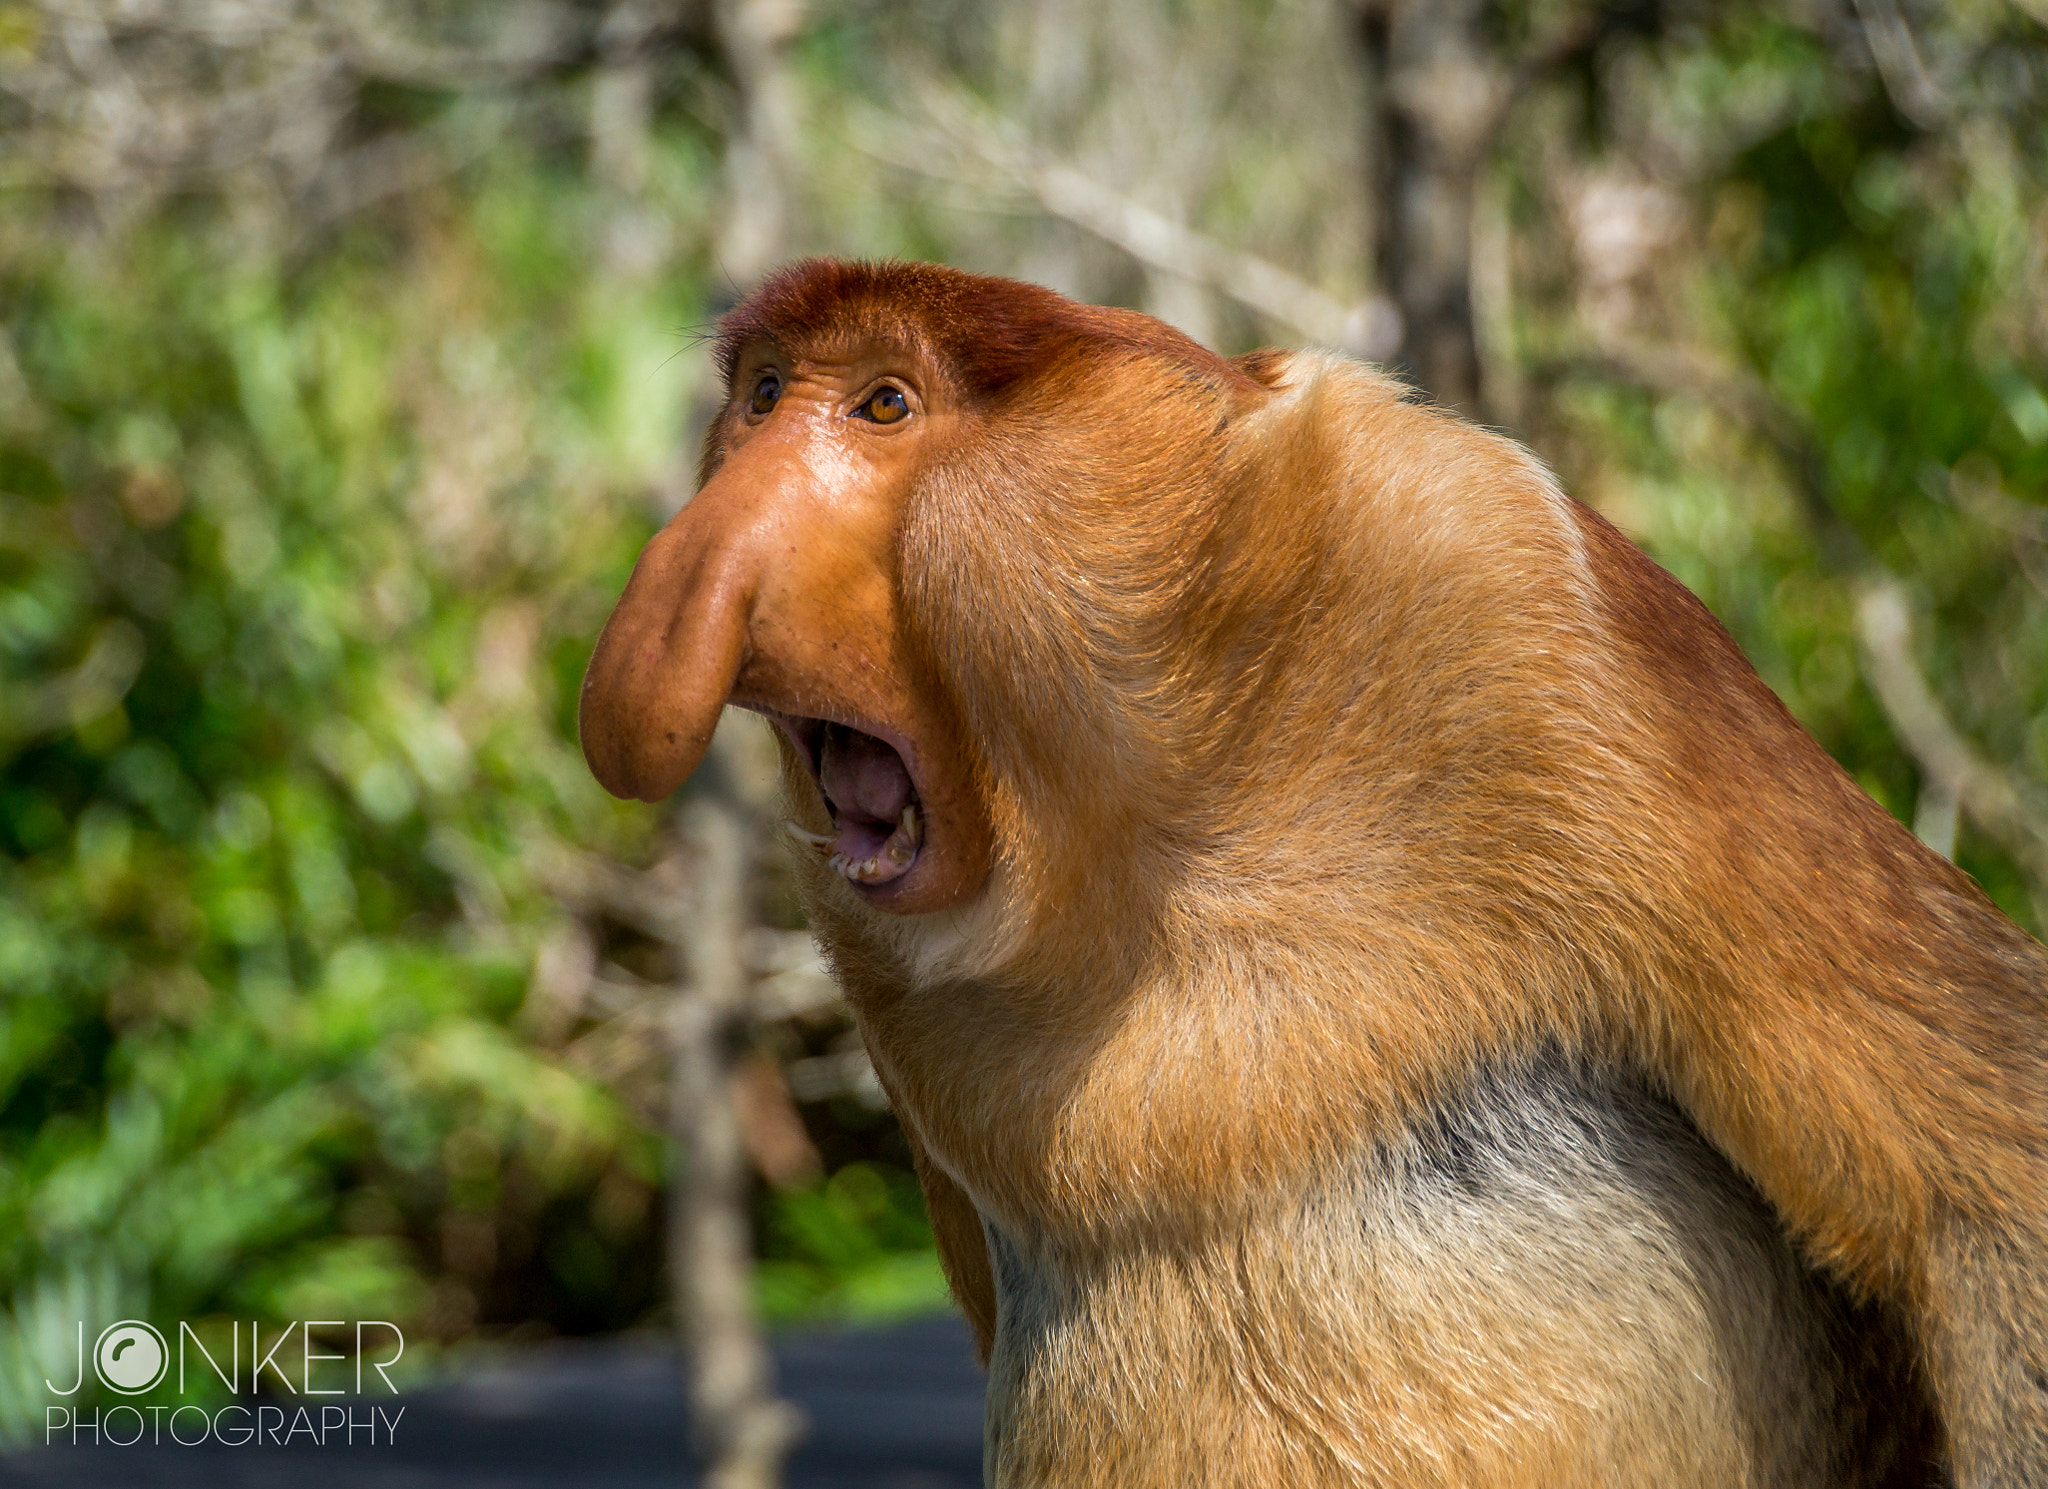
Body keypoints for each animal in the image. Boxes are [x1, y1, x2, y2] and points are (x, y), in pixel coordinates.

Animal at [581, 262, 2048, 1482]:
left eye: (883, 403)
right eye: (764, 396)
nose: (691, 576)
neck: (1179, 816)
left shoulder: (1514, 595)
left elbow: (1984, 1195)